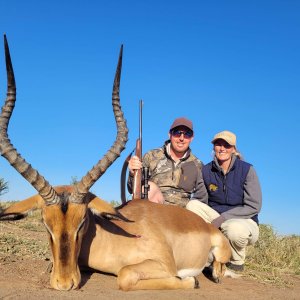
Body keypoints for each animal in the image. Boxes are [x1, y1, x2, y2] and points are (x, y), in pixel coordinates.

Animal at [0, 35, 231, 290]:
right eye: (45, 223)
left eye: (82, 221)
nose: (64, 283)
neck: (113, 236)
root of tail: (206, 226)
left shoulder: (164, 264)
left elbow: (125, 275)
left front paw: (192, 280)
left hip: (221, 251)